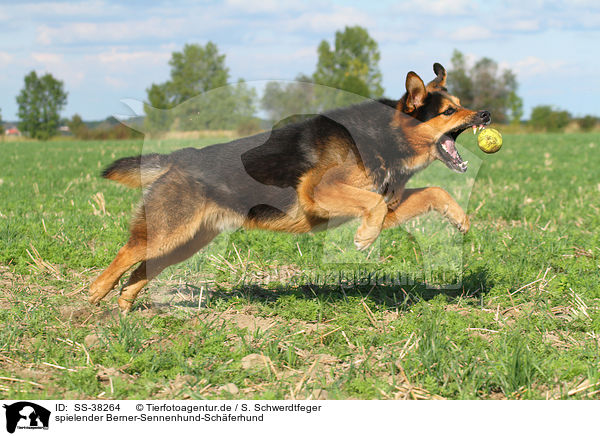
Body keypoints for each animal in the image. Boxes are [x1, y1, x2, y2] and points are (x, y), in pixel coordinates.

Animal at [90, 63, 492, 312]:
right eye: (448, 112)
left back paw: (124, 307)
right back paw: (95, 294)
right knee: (126, 253)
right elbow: (373, 207)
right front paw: (365, 238)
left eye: (460, 105)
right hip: (168, 233)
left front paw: (460, 219)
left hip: (186, 242)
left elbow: (432, 194)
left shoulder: (388, 205)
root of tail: (176, 158)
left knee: (141, 270)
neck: (387, 136)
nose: (486, 114)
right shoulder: (315, 191)